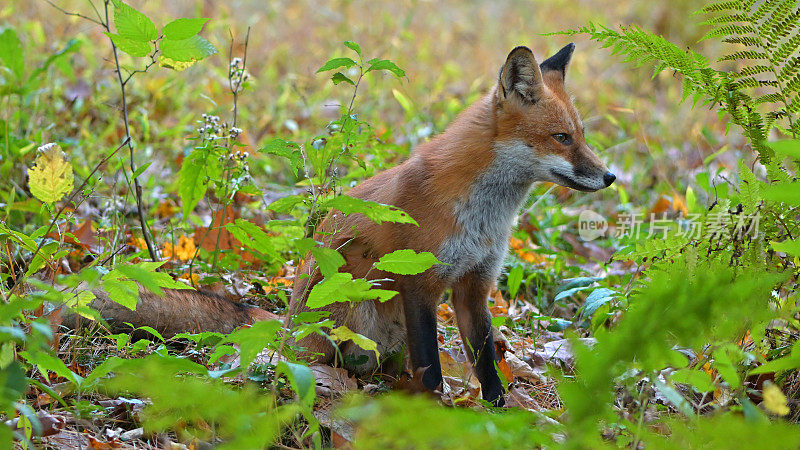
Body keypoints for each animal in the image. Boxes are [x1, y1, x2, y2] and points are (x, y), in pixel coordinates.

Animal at [78, 43, 608, 408]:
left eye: (582, 136)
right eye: (562, 138)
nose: (610, 177)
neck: (483, 215)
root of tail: (285, 325)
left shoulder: (474, 286)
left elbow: (486, 368)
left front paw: (498, 416)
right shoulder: (418, 280)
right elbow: (431, 371)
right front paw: (432, 413)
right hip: (352, 303)